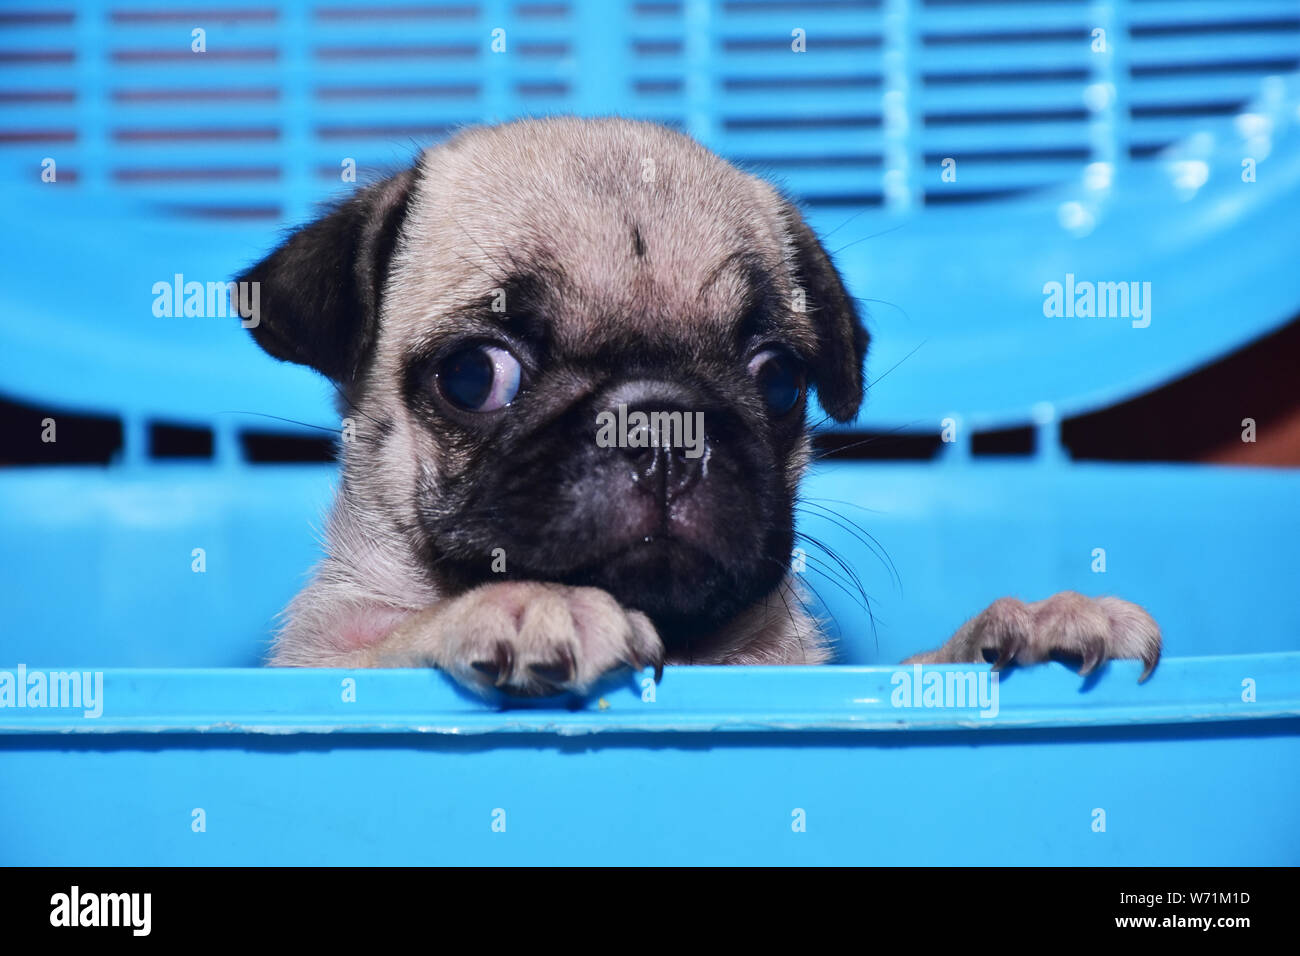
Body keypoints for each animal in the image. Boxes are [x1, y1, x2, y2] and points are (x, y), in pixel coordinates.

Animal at [239, 117, 1164, 697]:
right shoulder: (318, 667)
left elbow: (918, 669)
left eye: (779, 380)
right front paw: (523, 604)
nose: (664, 427)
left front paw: (1025, 625)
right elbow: (395, 642)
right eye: (474, 376)